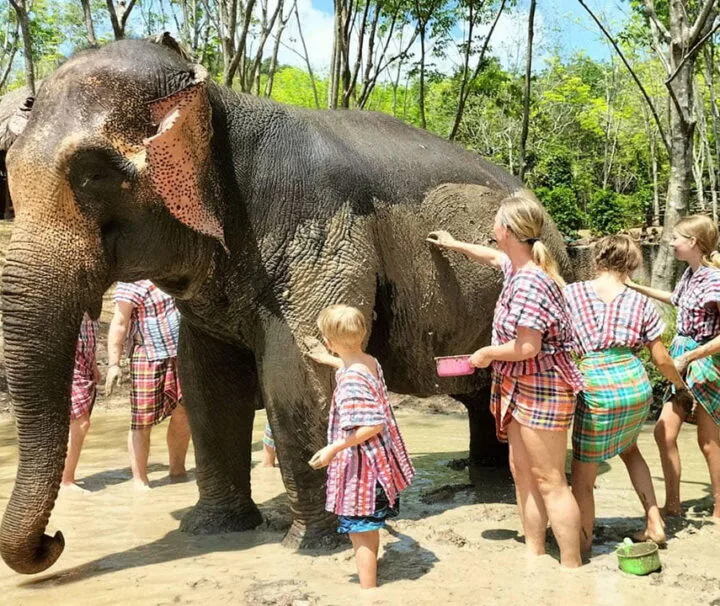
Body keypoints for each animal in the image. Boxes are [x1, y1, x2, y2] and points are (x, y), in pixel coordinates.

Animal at [0, 35, 574, 574]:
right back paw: (485, 480)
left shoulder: (319, 234)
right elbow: (207, 385)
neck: (221, 104)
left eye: (92, 174)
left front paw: (311, 546)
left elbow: (295, 376)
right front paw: (213, 529)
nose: (55, 541)